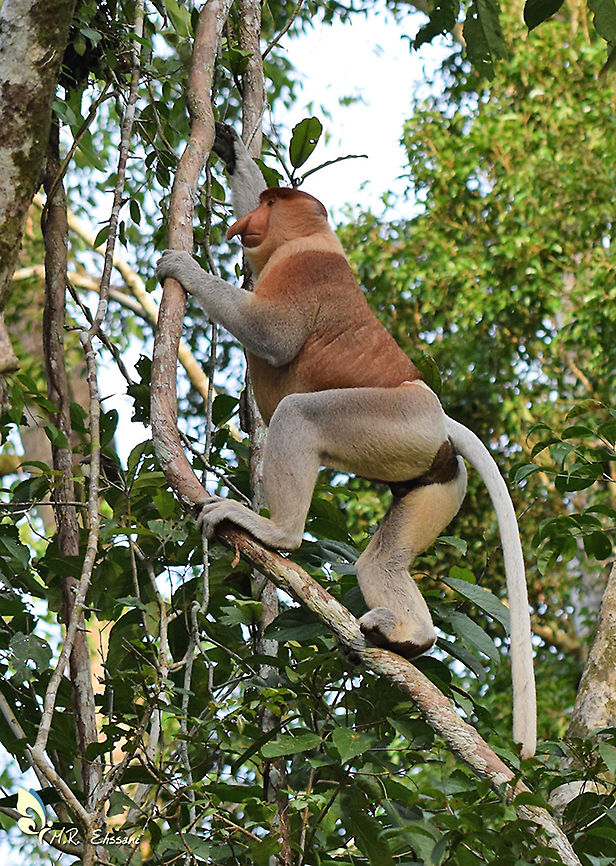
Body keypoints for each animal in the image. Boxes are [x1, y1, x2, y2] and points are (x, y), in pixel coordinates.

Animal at [156, 123, 536, 758]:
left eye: (269, 206)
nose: (247, 222)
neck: (315, 239)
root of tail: (440, 420)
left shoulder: (303, 273)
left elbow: (273, 335)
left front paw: (180, 265)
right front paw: (230, 147)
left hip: (388, 420)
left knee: (297, 415)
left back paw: (274, 532)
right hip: (436, 482)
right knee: (382, 559)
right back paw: (409, 638)